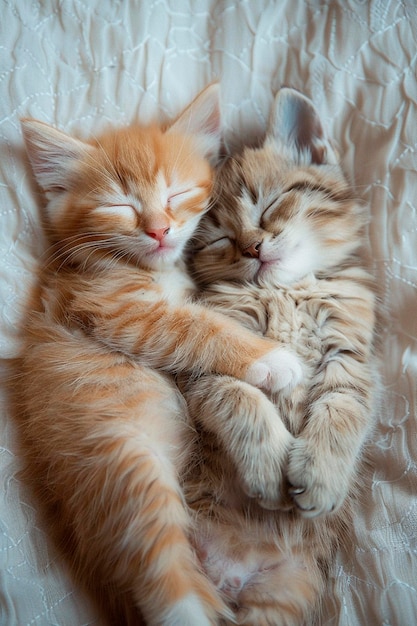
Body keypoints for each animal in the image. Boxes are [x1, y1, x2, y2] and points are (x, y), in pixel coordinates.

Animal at [13, 84, 300, 624]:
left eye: (176, 194)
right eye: (121, 205)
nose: (159, 230)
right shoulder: (114, 311)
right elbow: (197, 328)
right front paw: (273, 360)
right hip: (126, 465)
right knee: (160, 575)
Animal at [184, 89, 378, 624]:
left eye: (270, 203)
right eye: (220, 239)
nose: (253, 247)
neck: (289, 291)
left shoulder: (348, 353)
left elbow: (342, 409)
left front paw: (321, 473)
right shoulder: (210, 361)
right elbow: (239, 396)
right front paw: (269, 462)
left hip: (285, 592)